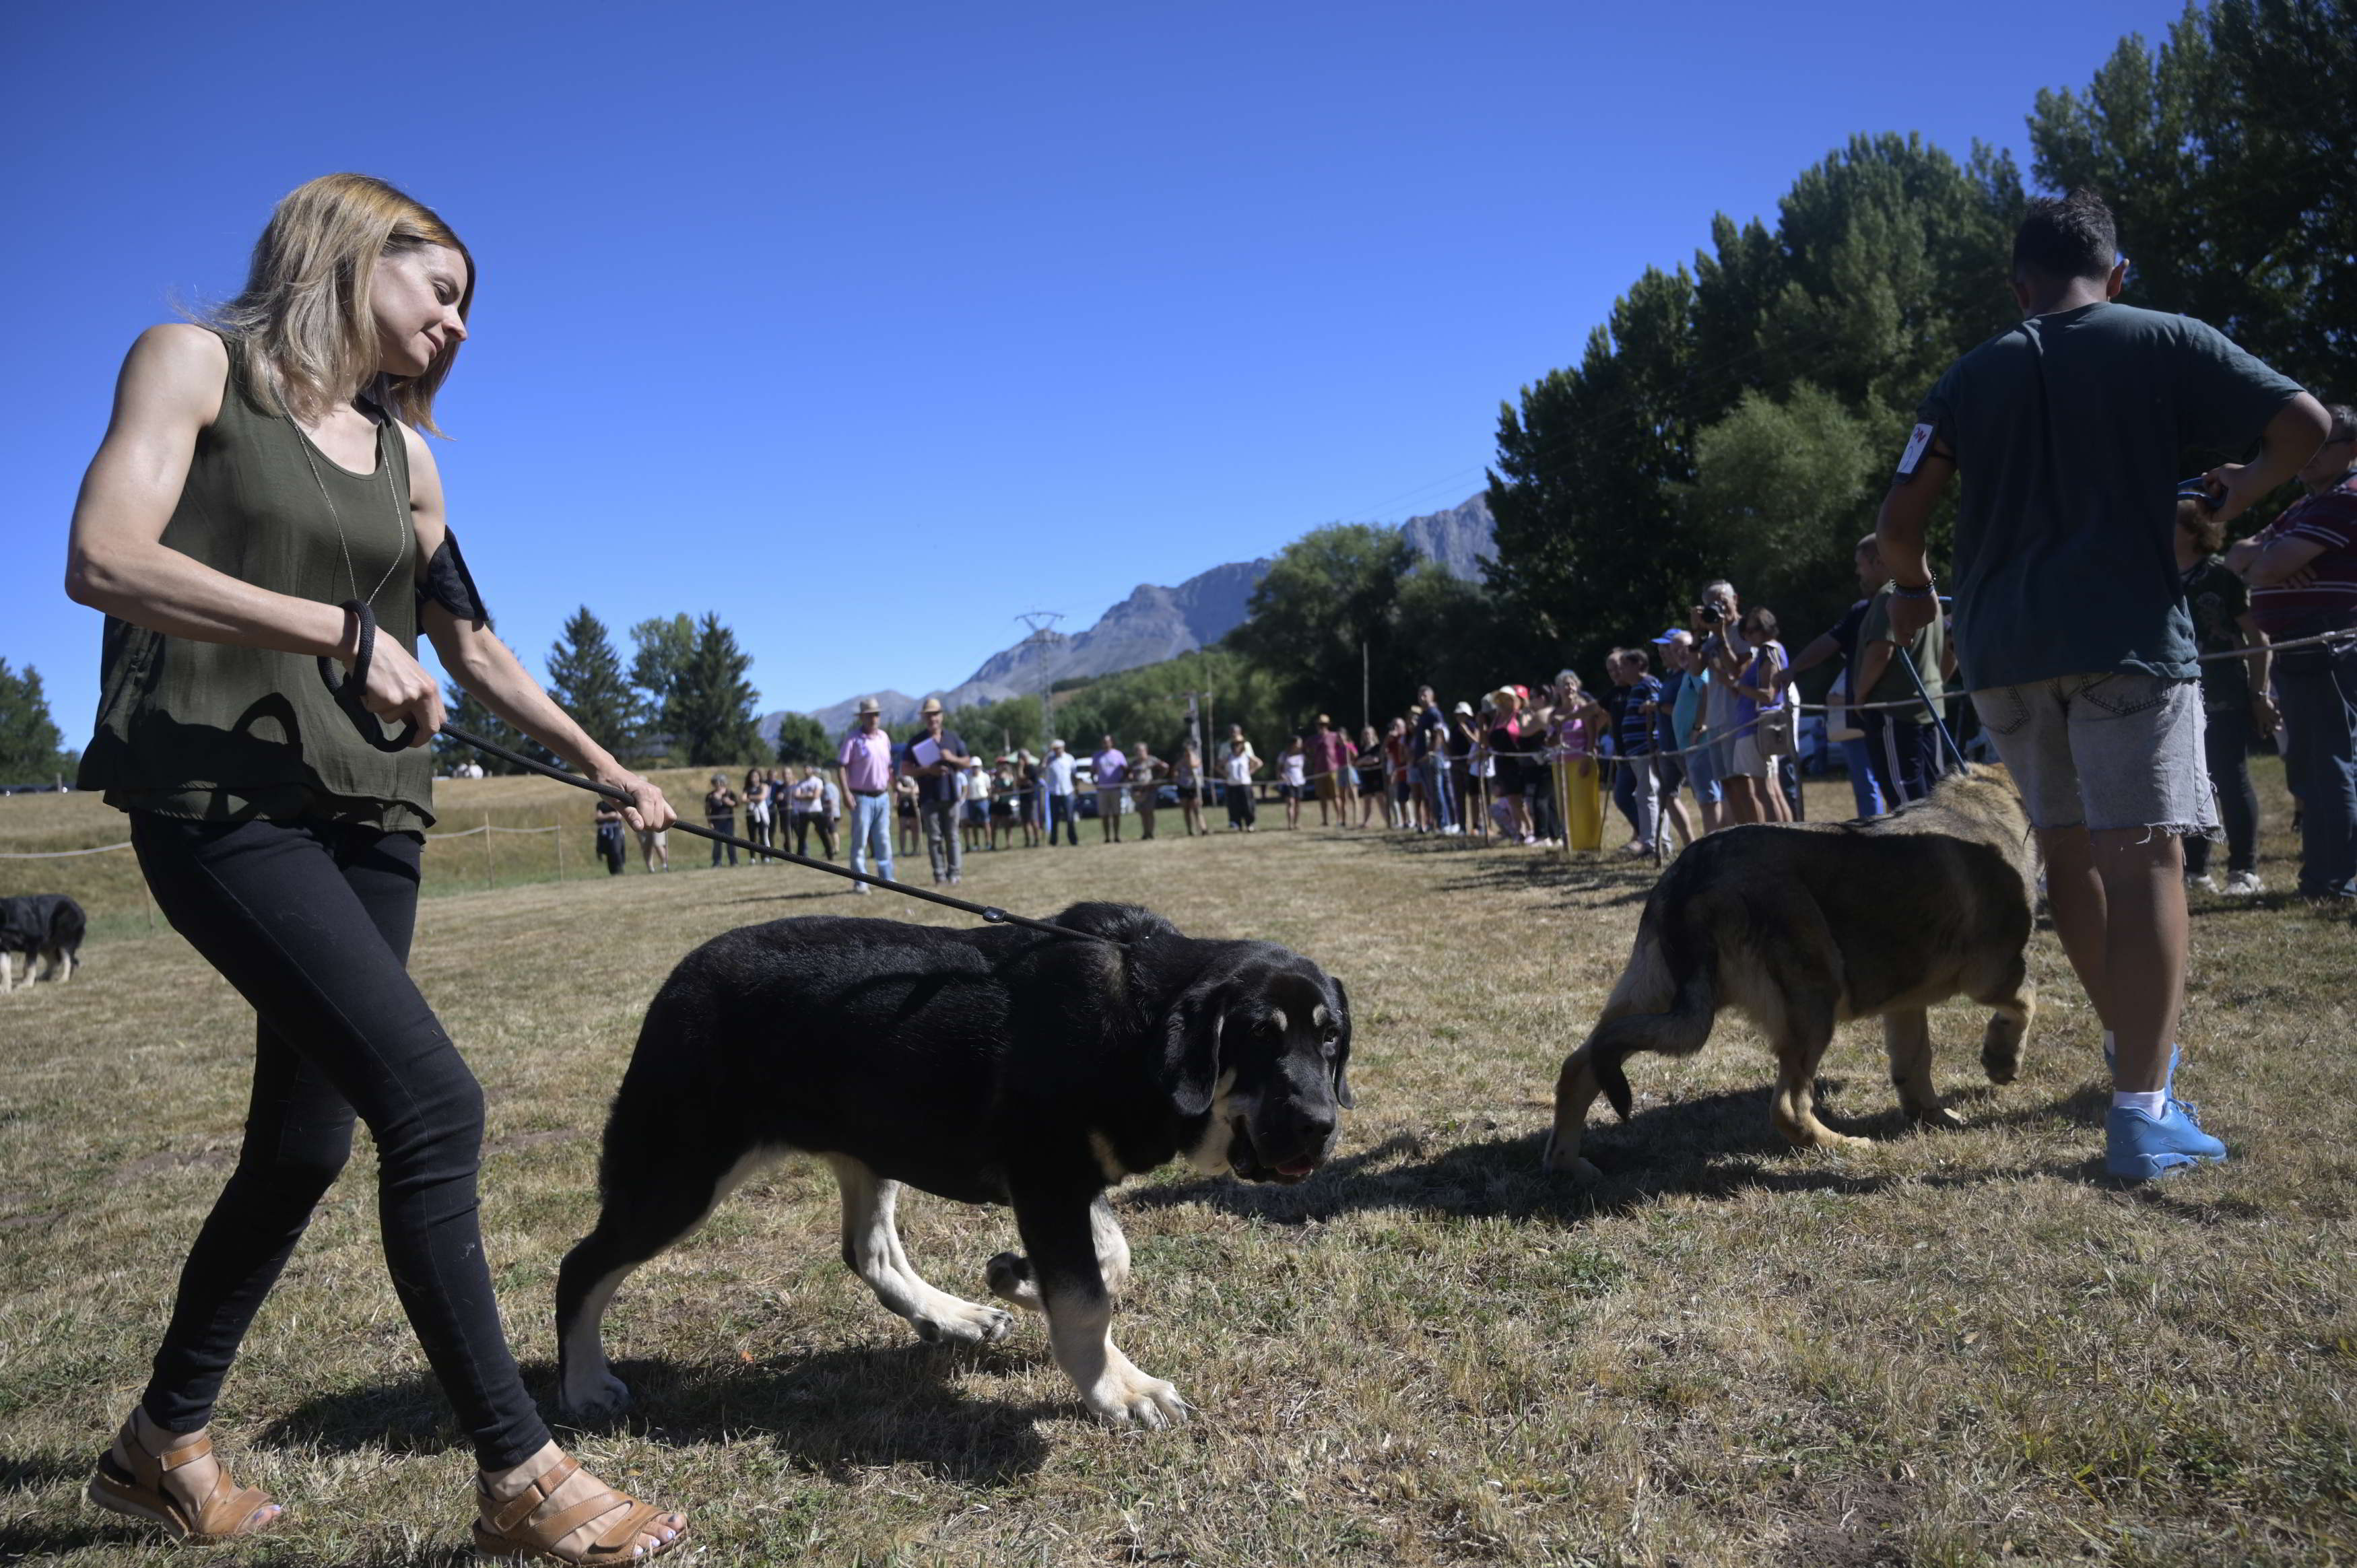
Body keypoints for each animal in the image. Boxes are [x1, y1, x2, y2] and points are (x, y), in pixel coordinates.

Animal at [0, 891, 86, 990]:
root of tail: (79, 907)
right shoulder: (3, 947)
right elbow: (4, 968)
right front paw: (4, 987)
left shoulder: (33, 942)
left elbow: (28, 966)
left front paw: (26, 985)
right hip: (46, 944)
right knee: (55, 960)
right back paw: (44, 977)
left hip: (64, 938)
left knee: (68, 961)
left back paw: (63, 980)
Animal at [556, 900, 1367, 1424]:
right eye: (1259, 1037)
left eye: (1329, 1038)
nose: (1319, 1125)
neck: (1136, 1028)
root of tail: (676, 981)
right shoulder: (1047, 1175)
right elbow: (1087, 1298)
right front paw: (1119, 1389)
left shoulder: (1067, 1179)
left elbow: (1109, 1258)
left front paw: (1017, 1278)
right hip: (681, 1169)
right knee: (582, 1264)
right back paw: (585, 1383)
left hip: (869, 1142)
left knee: (868, 1251)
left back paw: (951, 1316)